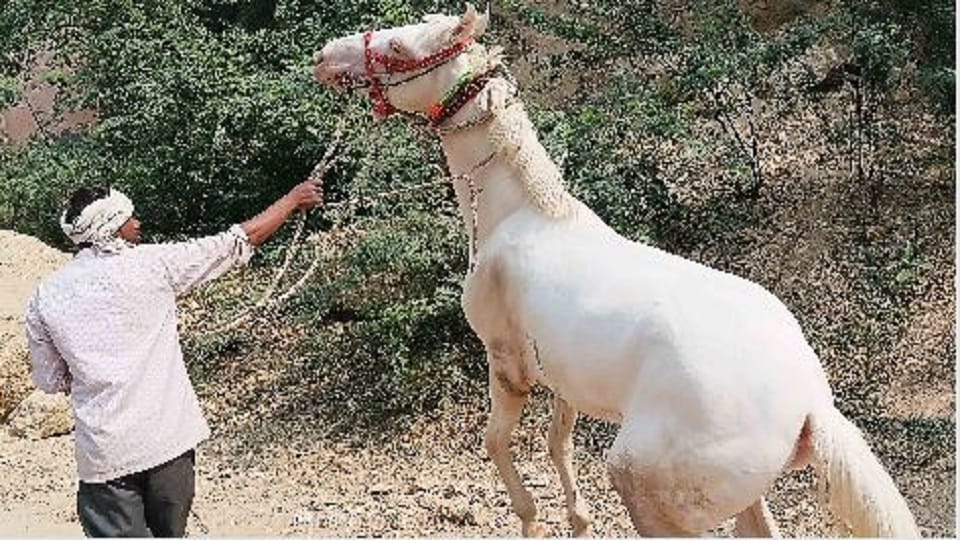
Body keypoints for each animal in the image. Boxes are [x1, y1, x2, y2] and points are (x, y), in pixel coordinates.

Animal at [313, 5, 919, 537]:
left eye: (399, 48)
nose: (325, 56)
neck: (518, 212)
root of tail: (810, 404)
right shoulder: (561, 376)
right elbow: (557, 441)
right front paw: (578, 521)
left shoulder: (504, 364)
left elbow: (495, 442)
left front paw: (532, 522)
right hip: (740, 493)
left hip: (644, 485)